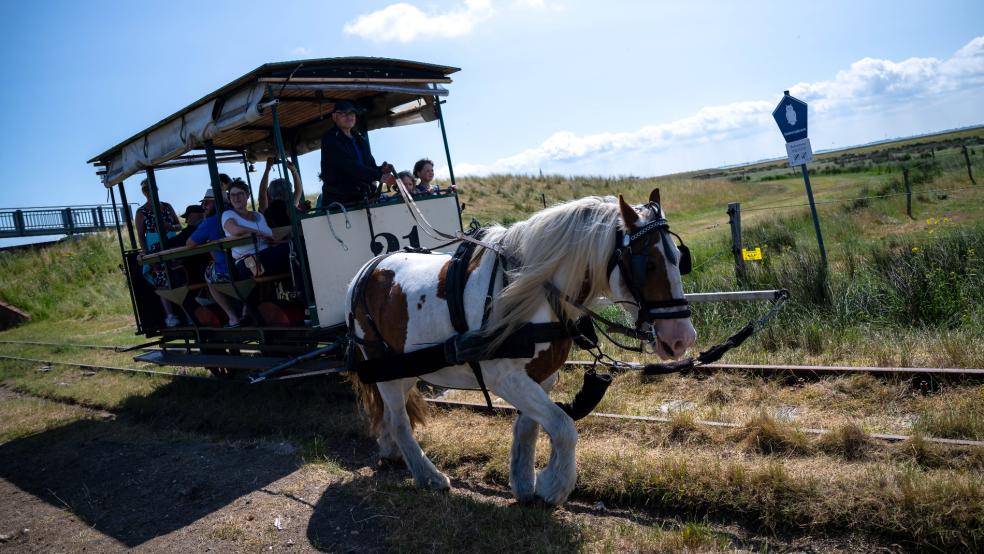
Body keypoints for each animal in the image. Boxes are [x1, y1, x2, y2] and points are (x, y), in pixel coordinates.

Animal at [346, 190, 697, 506]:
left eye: (680, 259)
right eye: (647, 265)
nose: (682, 337)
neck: (533, 294)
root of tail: (367, 269)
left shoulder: (542, 376)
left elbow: (530, 428)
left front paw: (526, 483)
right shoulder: (505, 378)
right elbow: (563, 426)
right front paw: (554, 486)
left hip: (405, 369)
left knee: (392, 413)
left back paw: (391, 451)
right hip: (383, 367)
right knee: (400, 421)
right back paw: (427, 475)